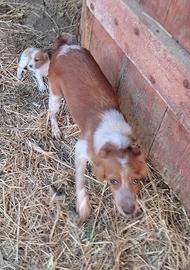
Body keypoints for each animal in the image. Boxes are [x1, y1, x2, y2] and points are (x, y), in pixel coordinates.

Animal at [47, 36, 147, 221]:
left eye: (136, 181)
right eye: (113, 181)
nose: (129, 211)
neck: (115, 141)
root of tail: (65, 46)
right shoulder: (80, 150)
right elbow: (80, 183)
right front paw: (83, 208)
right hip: (55, 95)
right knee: (51, 113)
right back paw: (55, 130)